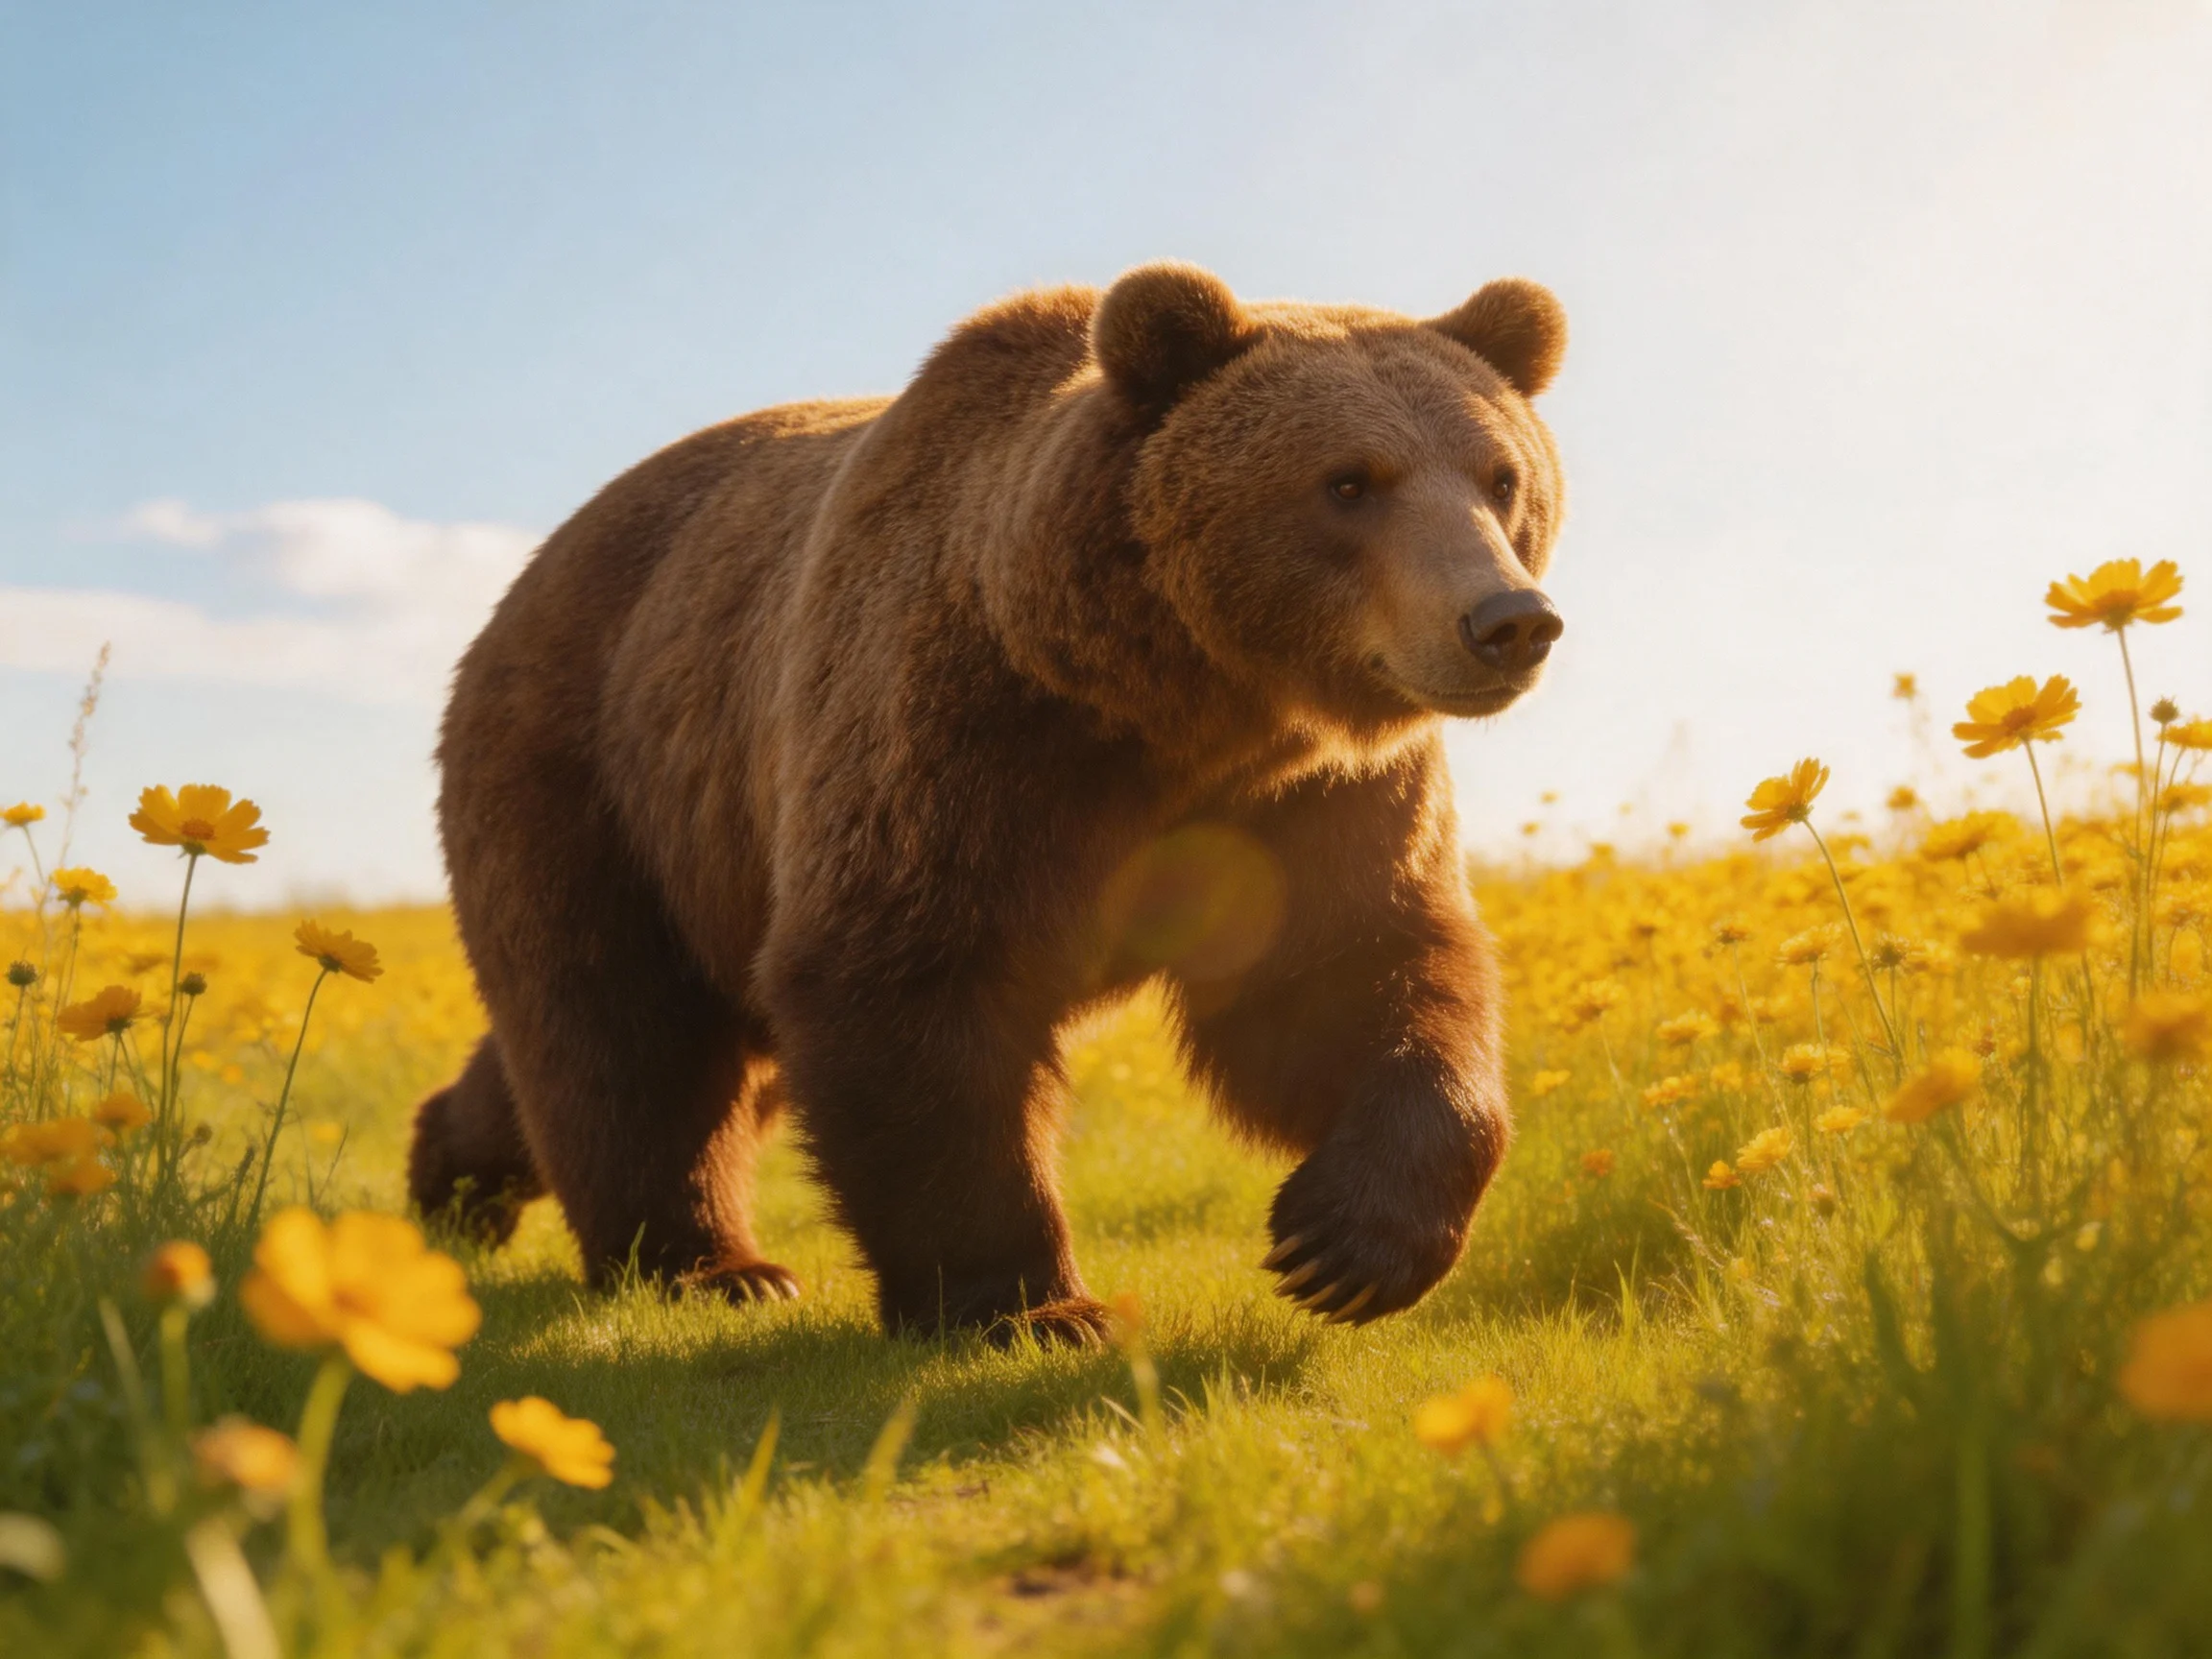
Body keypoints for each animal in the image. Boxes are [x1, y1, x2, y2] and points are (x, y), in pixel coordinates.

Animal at [408, 262, 1569, 1342]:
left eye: (1502, 475)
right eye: (1348, 482)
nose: (1507, 620)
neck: (1178, 707)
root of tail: (530, 573)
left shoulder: (1309, 799)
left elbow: (1350, 973)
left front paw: (1347, 1244)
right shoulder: (961, 739)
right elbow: (911, 984)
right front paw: (1031, 1304)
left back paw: (453, 1176)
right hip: (599, 772)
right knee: (622, 1030)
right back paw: (709, 1265)